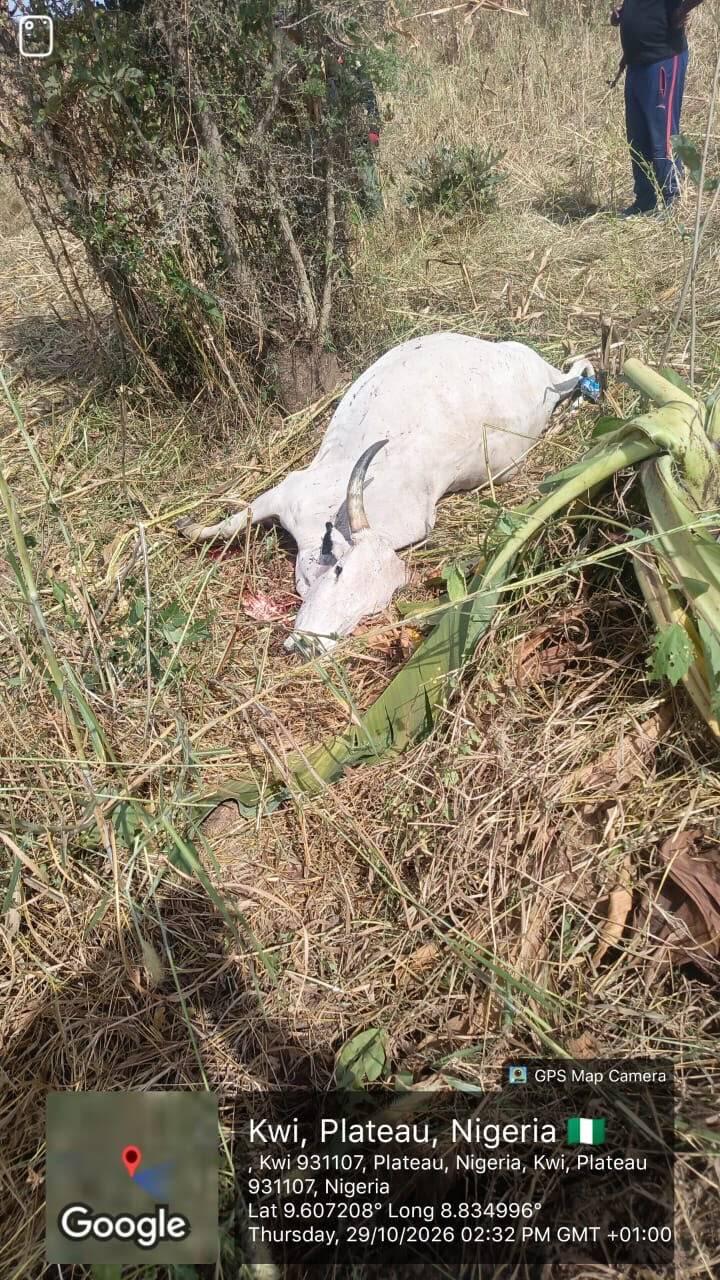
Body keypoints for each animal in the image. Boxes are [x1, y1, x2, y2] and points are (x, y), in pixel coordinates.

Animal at [177, 332, 595, 654]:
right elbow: (233, 522)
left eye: (373, 607)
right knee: (579, 367)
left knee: (581, 369)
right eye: (339, 570)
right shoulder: (286, 491)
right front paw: (188, 527)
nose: (311, 644)